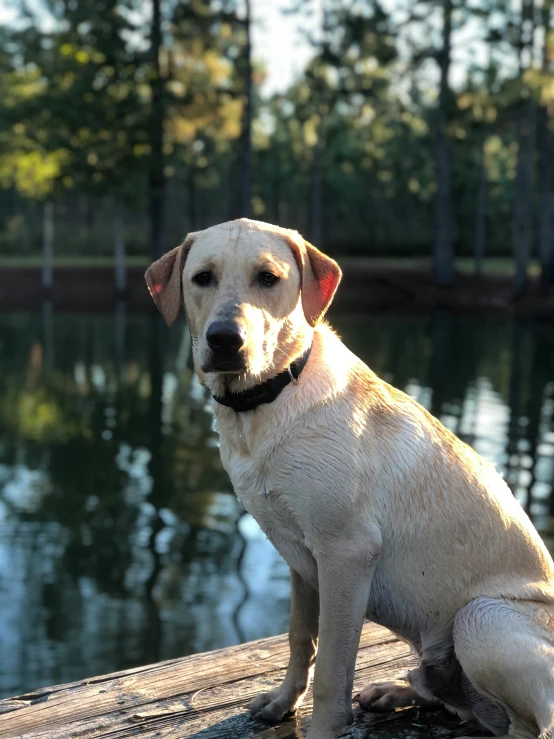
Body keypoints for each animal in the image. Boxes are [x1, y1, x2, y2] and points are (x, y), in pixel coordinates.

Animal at [146, 218, 552, 739]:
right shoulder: (300, 557)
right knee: (454, 700)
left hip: (480, 616)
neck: (268, 399)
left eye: (268, 278)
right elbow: (301, 638)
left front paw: (321, 725)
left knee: (529, 722)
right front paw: (283, 702)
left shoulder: (346, 553)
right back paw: (397, 690)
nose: (225, 339)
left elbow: (332, 668)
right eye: (202, 278)